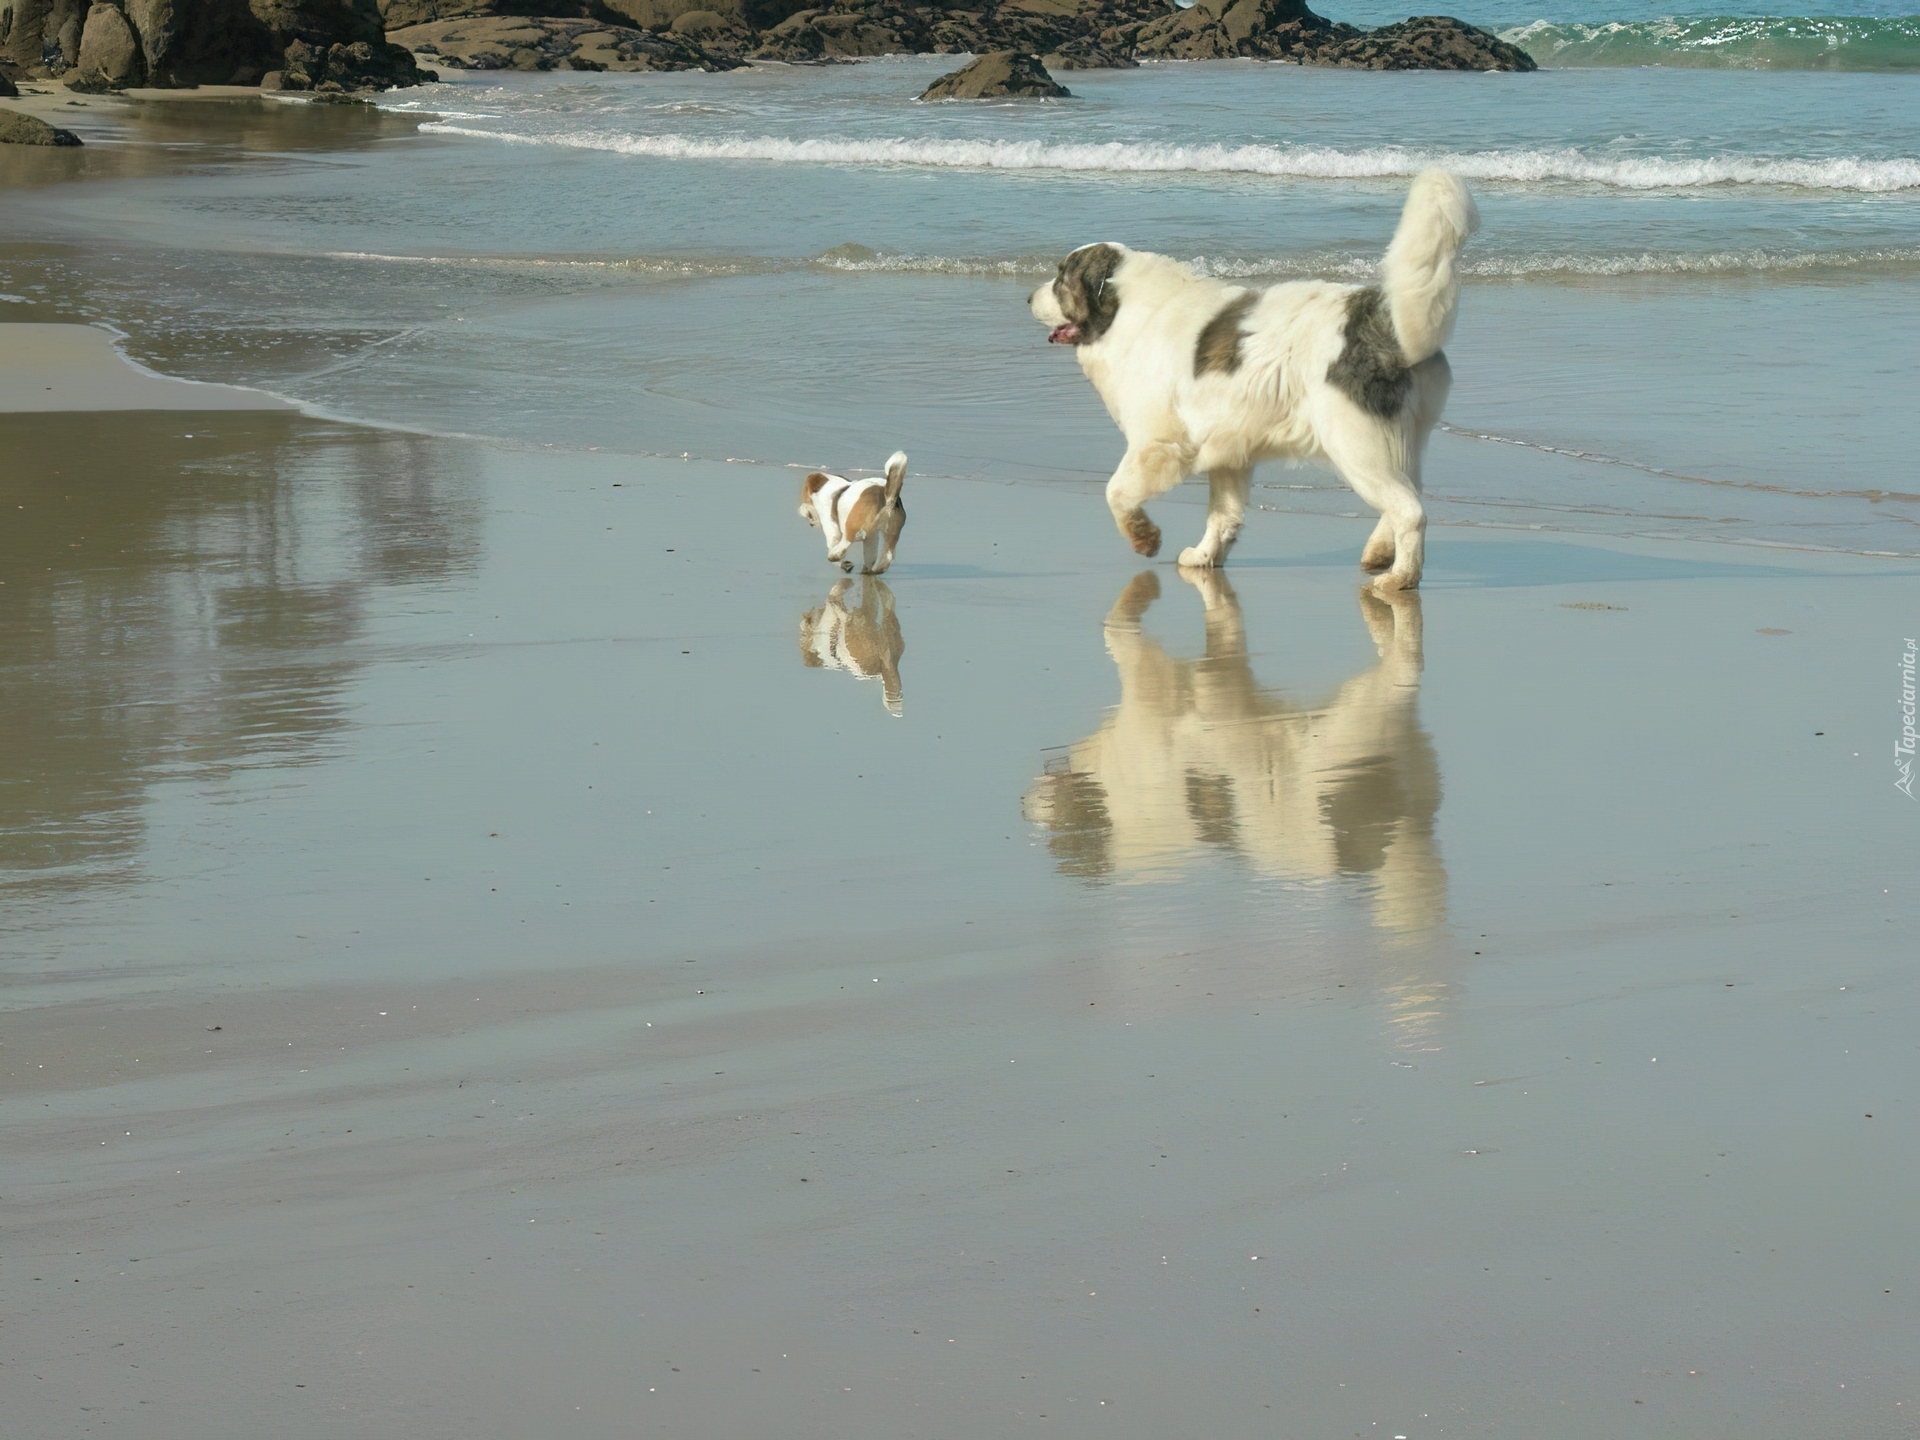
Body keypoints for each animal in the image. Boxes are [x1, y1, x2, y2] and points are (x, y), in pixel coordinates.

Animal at [1029, 171, 1474, 587]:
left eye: (1061, 278)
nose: (1029, 298)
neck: (1123, 311)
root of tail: (1383, 318)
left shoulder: (1158, 443)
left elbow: (1116, 491)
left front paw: (1145, 538)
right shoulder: (1229, 450)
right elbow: (1223, 513)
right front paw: (1205, 556)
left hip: (1355, 444)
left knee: (1410, 509)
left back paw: (1400, 577)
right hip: (1399, 440)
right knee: (1407, 493)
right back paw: (1381, 551)